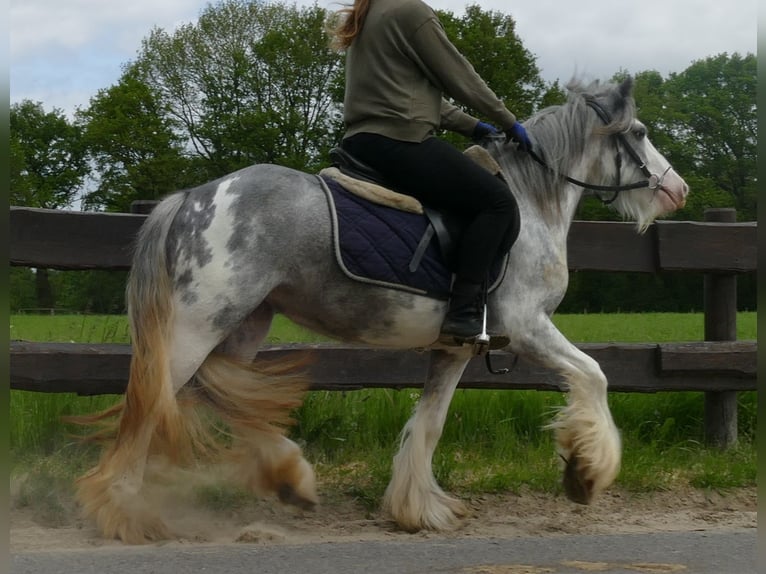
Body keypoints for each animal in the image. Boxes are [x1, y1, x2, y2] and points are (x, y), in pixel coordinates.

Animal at [76, 77, 688, 544]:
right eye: (639, 133)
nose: (677, 189)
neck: (530, 202)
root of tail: (194, 197)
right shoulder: (528, 327)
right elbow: (595, 375)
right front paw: (586, 472)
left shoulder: (456, 348)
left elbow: (429, 424)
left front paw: (419, 510)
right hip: (196, 325)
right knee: (152, 403)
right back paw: (124, 512)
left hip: (243, 324)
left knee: (220, 393)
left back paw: (291, 477)